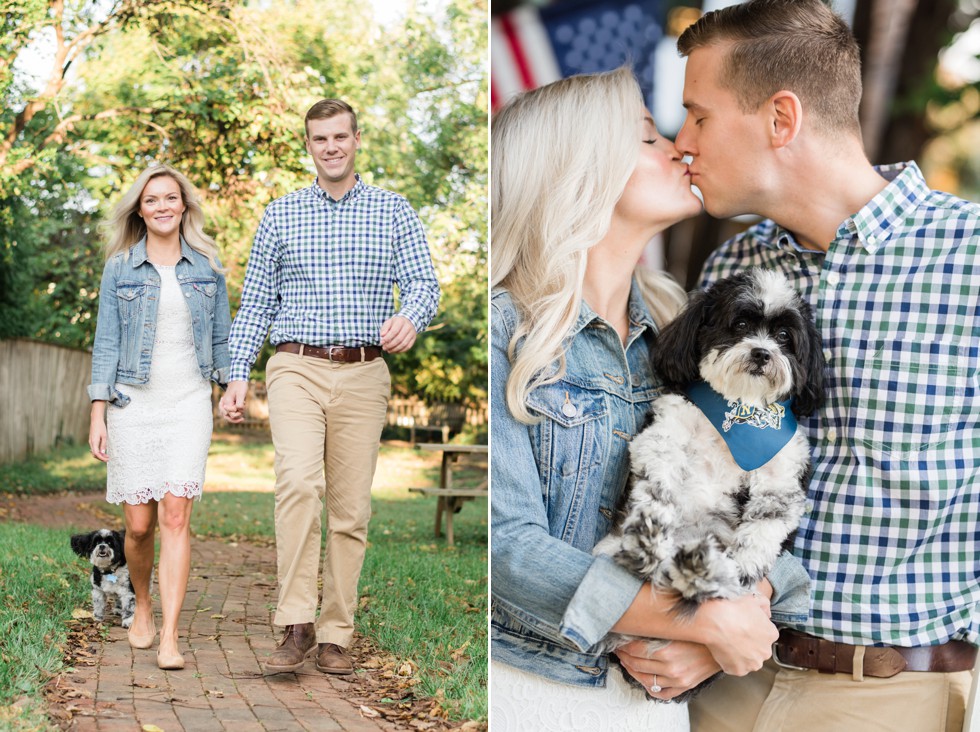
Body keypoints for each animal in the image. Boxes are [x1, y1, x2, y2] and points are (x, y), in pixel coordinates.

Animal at [592, 268, 824, 696]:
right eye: (742, 324)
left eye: (785, 337)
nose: (762, 353)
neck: (740, 414)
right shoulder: (666, 431)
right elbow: (657, 479)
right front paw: (652, 519)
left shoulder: (783, 476)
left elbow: (767, 524)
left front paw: (744, 564)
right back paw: (653, 548)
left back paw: (699, 569)